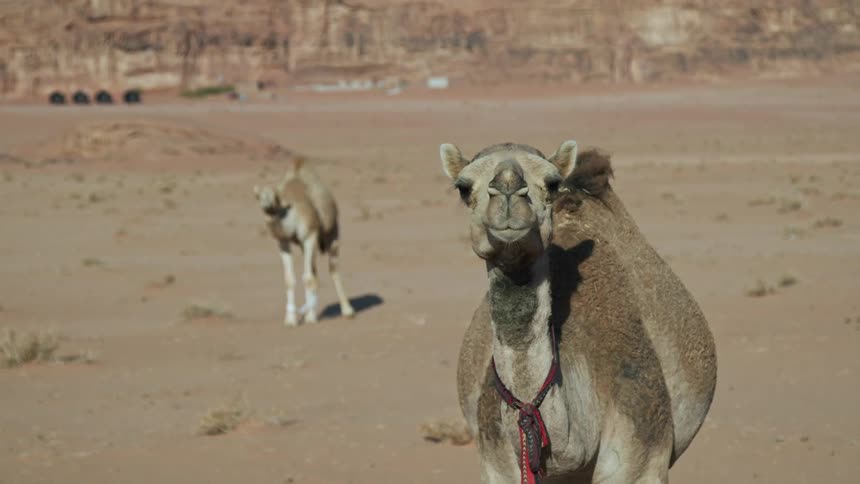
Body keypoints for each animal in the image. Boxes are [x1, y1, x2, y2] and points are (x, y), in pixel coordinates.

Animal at [254, 157, 355, 326]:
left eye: (274, 196)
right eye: (260, 196)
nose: (266, 206)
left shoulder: (310, 235)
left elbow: (307, 277)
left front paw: (310, 318)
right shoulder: (283, 241)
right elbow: (289, 279)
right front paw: (290, 320)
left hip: (332, 233)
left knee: (332, 269)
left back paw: (347, 311)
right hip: (304, 245)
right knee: (314, 272)